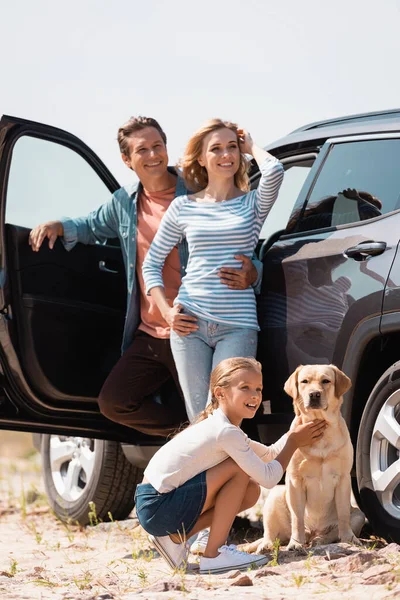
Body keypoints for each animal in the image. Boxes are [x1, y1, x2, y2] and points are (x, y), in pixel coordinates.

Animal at [242, 360, 364, 552]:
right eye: (304, 381)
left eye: (326, 381)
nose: (314, 394)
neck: (320, 430)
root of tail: (313, 532)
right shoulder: (295, 480)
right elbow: (297, 518)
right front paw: (296, 543)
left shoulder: (343, 479)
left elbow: (344, 514)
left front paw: (349, 539)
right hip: (275, 496)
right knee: (270, 535)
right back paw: (268, 545)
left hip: (359, 514)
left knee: (332, 533)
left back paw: (321, 540)